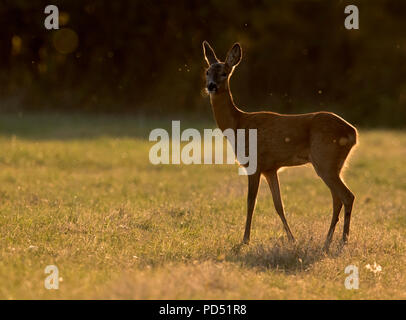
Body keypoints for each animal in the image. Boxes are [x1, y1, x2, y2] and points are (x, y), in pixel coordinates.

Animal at [201, 40, 356, 250]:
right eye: (207, 71)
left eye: (224, 73)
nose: (211, 86)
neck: (238, 124)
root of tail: (353, 133)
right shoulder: (271, 169)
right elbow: (278, 205)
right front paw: (292, 239)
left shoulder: (254, 164)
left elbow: (251, 202)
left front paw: (245, 239)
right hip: (334, 165)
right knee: (337, 199)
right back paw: (328, 240)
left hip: (325, 161)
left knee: (347, 196)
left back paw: (342, 241)